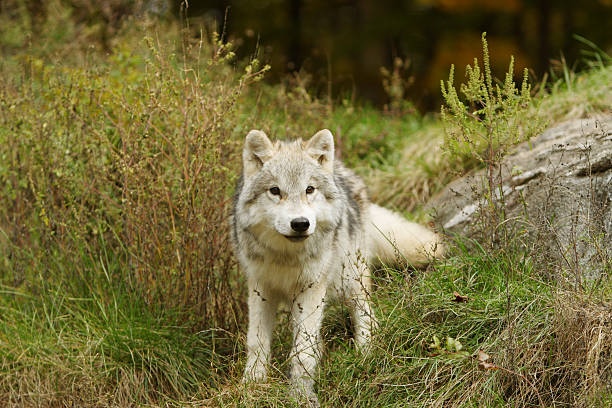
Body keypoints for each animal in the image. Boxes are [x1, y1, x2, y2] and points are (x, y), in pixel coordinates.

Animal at [230, 129, 444, 404]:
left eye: (309, 189)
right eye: (275, 191)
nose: (300, 223)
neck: (286, 257)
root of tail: (344, 171)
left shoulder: (312, 288)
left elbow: (303, 350)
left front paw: (301, 395)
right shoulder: (260, 288)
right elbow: (256, 341)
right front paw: (252, 386)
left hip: (350, 278)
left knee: (366, 315)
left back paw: (365, 354)